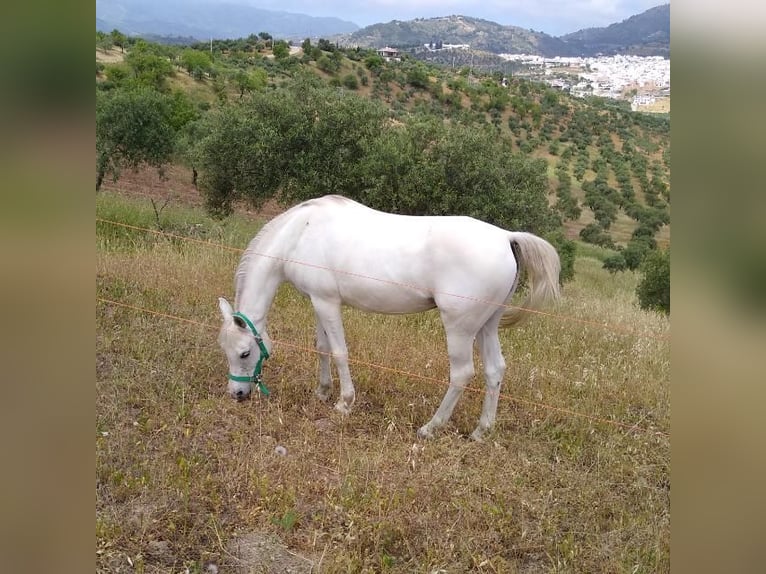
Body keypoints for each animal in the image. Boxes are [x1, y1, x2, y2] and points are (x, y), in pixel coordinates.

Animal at [219, 195, 560, 440]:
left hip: (460, 329)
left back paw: (430, 428)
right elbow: (322, 348)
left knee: (462, 374)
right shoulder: (318, 301)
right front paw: (322, 392)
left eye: (245, 352)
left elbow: (340, 351)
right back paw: (480, 431)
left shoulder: (328, 303)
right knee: (495, 370)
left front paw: (344, 402)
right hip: (487, 326)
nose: (237, 394)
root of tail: (506, 237)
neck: (301, 232)